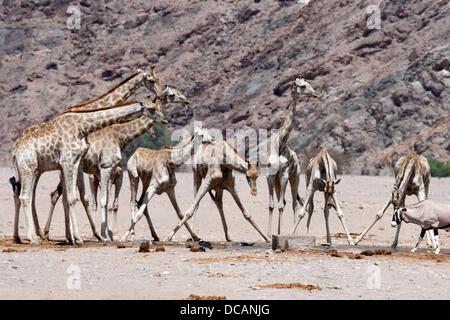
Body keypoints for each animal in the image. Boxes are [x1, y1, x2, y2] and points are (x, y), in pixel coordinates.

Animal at [9, 100, 162, 245]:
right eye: (152, 109)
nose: (164, 120)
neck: (81, 127)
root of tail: (15, 151)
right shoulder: (72, 162)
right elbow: (78, 198)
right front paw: (84, 238)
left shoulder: (75, 163)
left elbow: (70, 198)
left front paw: (73, 238)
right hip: (29, 168)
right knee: (25, 196)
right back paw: (33, 237)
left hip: (31, 169)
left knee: (21, 194)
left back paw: (19, 237)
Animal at [45, 86, 192, 241]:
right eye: (172, 94)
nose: (187, 100)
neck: (120, 136)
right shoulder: (106, 169)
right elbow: (105, 201)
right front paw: (109, 235)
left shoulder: (112, 172)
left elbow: (111, 202)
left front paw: (110, 234)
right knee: (71, 197)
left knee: (59, 195)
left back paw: (54, 233)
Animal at [268, 79, 320, 236]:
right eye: (302, 86)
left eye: (308, 84)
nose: (315, 94)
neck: (280, 143)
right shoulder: (270, 176)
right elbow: (272, 205)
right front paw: (268, 234)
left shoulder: (285, 174)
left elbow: (280, 205)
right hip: (278, 181)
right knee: (284, 202)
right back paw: (279, 231)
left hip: (294, 178)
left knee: (293, 204)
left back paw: (291, 232)